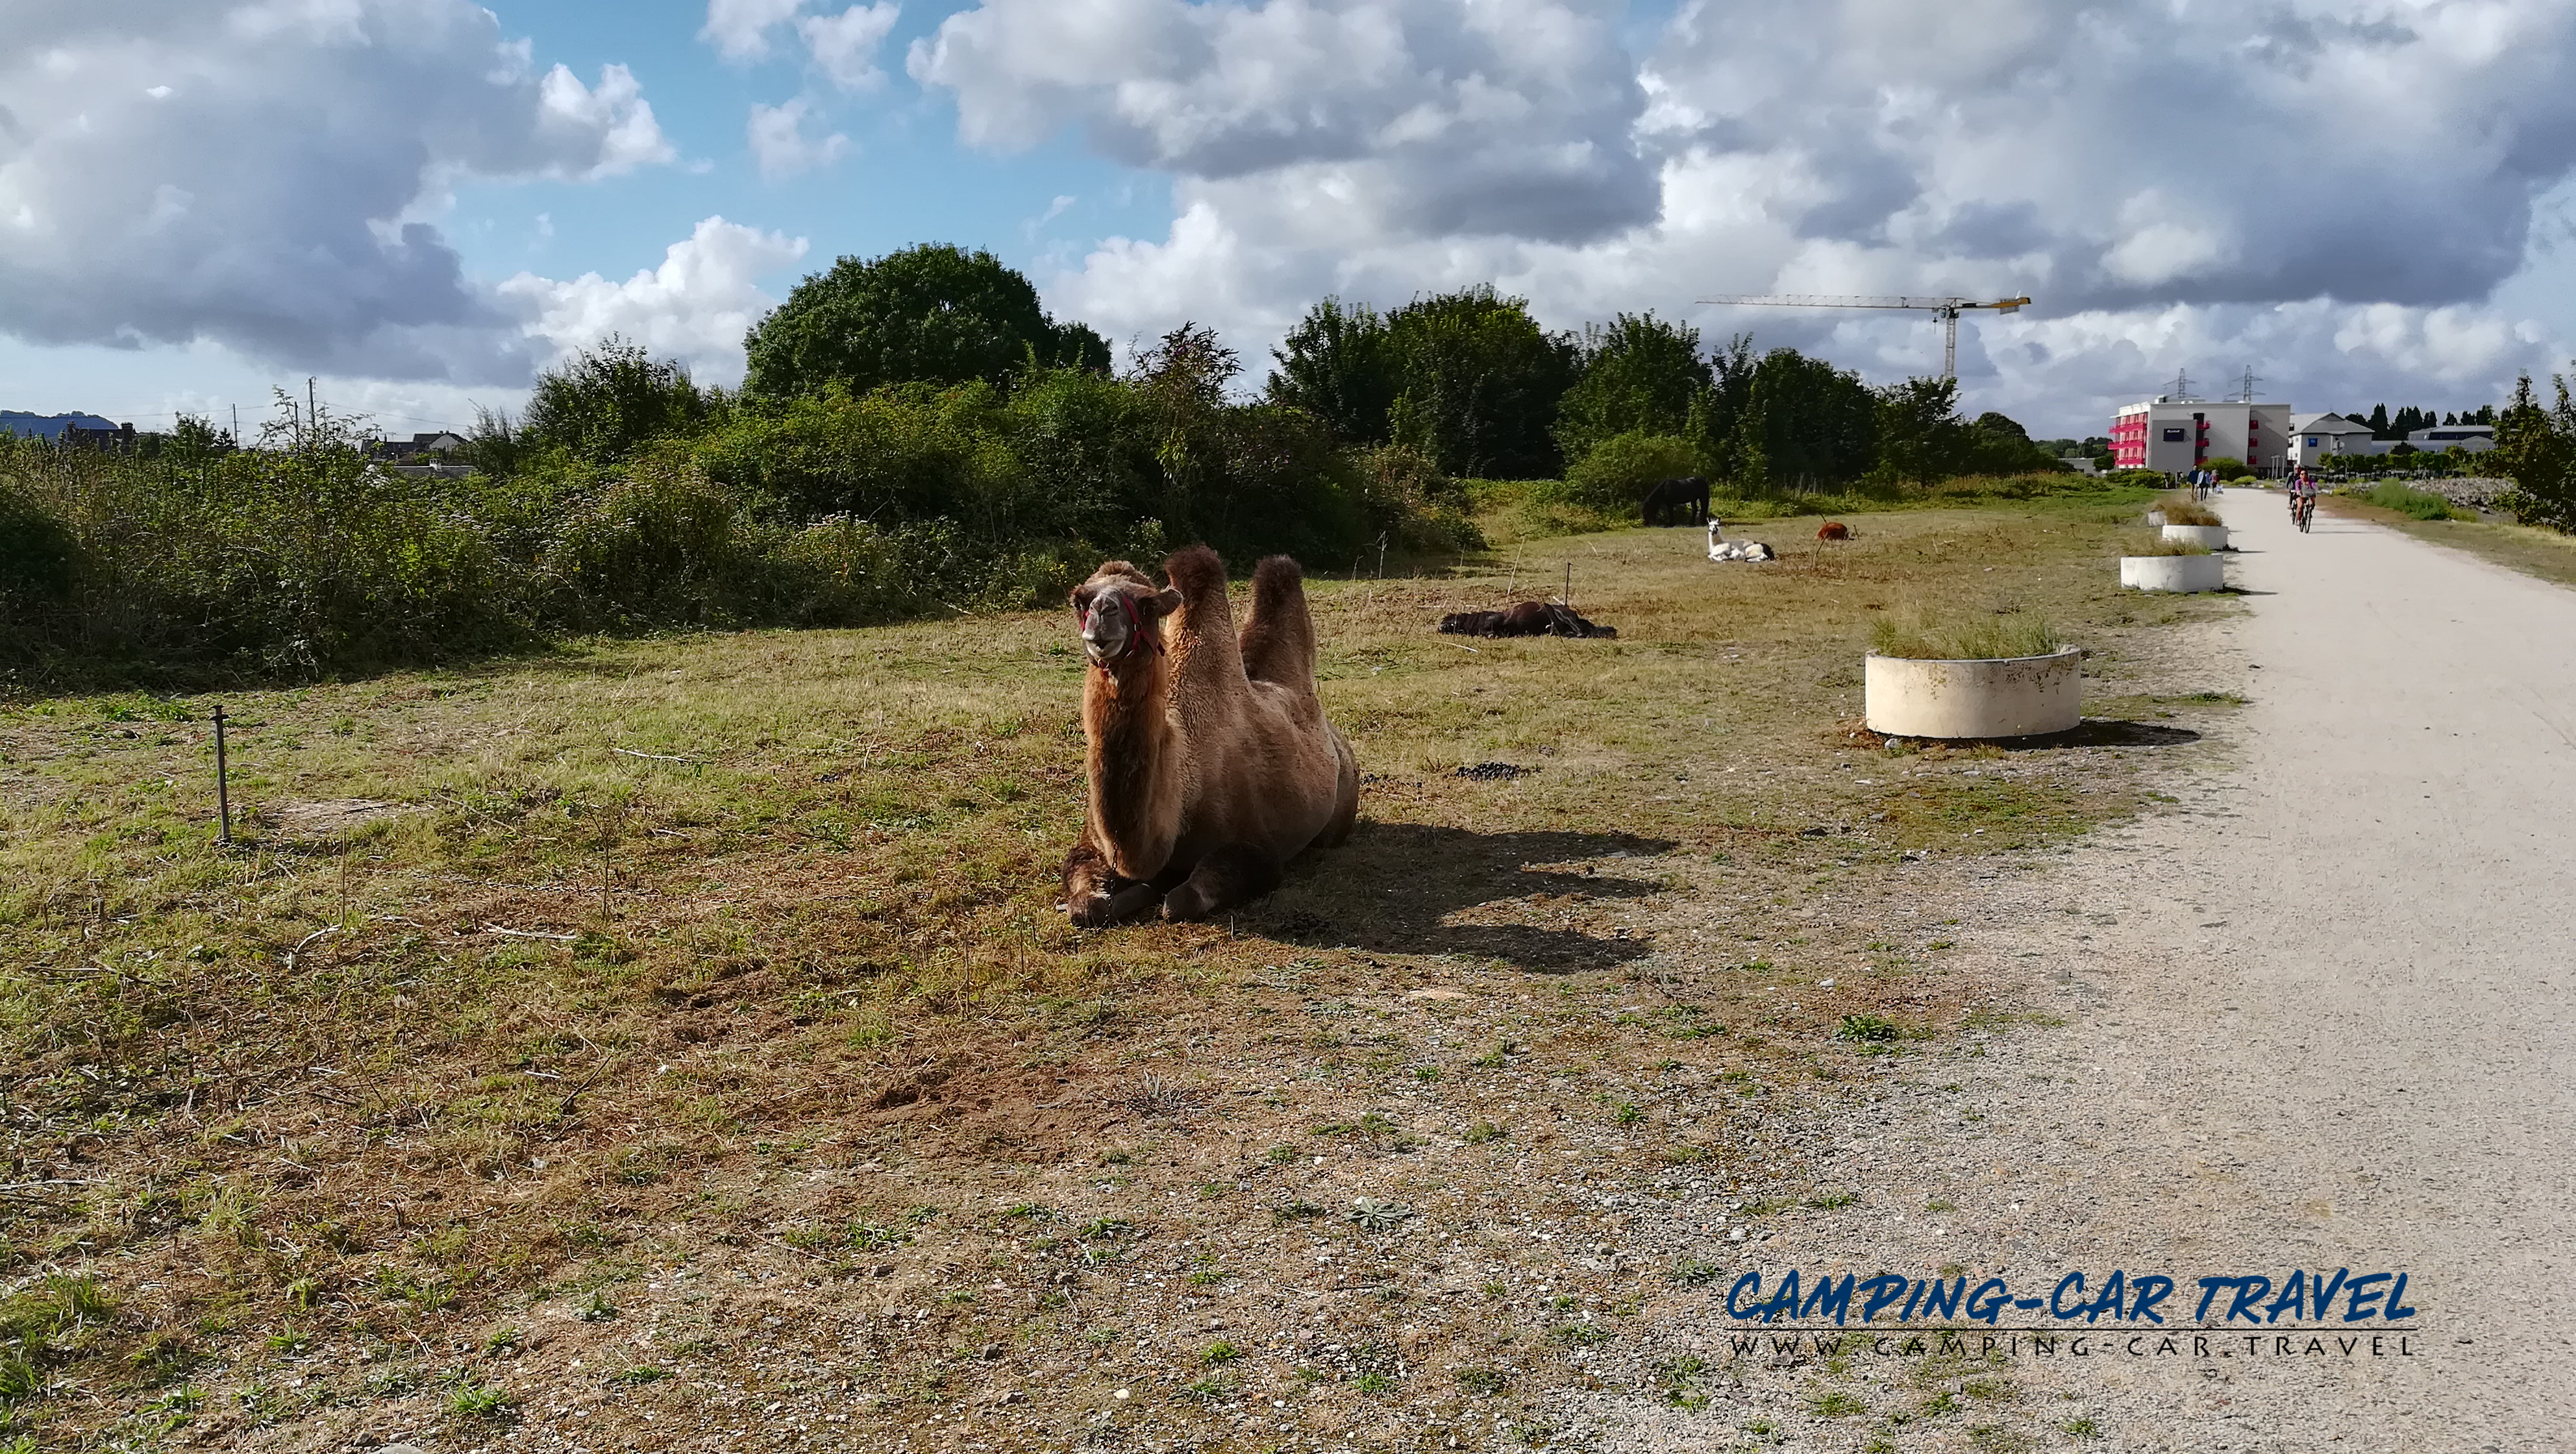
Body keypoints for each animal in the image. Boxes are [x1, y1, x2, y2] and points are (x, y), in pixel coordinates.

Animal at [1056, 545, 1360, 931]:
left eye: (1147, 604)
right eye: (1080, 601)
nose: (1101, 616)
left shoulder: (1257, 849)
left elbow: (1182, 901)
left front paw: (1157, 891)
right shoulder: (1092, 845)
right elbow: (1085, 904)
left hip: (1341, 807)